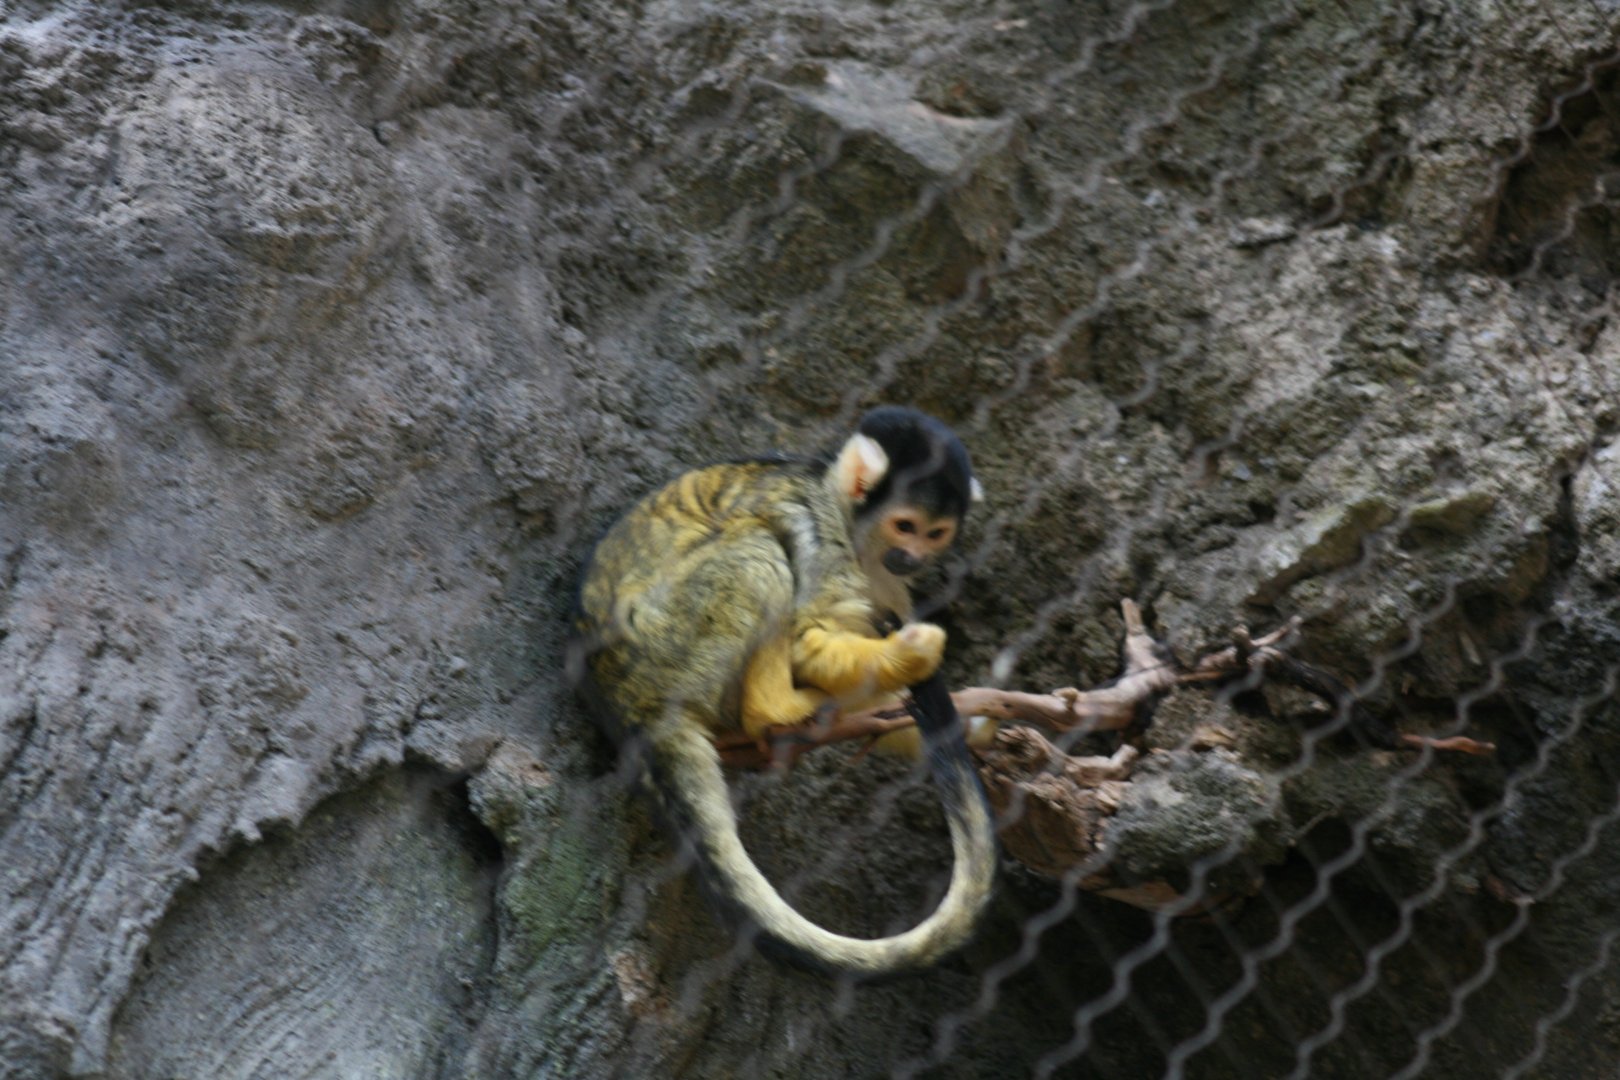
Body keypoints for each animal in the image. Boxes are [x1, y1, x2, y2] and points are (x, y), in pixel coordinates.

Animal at [573, 407, 996, 976]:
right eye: (904, 525)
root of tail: (625, 700)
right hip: (665, 645)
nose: (911, 555)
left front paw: (970, 730)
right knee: (759, 546)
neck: (857, 531)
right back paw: (773, 710)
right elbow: (805, 639)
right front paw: (910, 658)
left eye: (935, 533)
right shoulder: (823, 532)